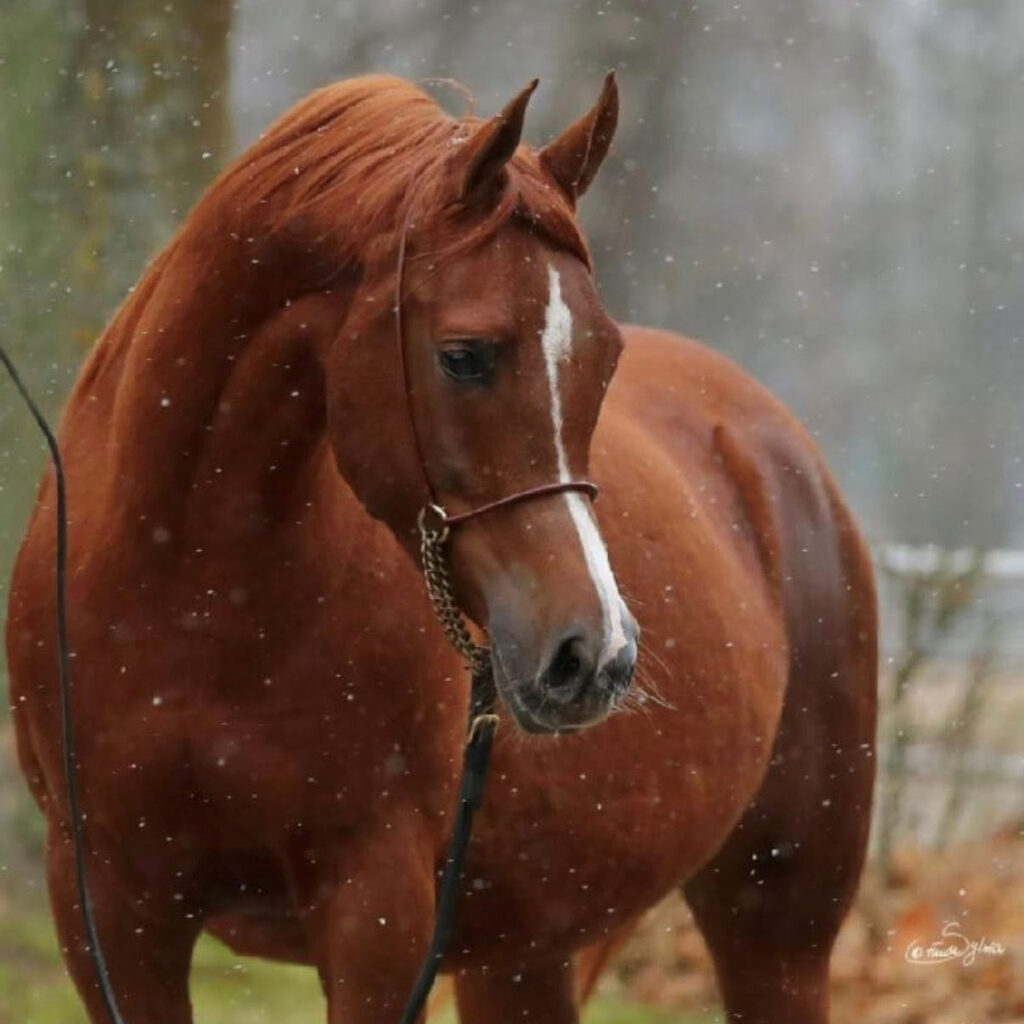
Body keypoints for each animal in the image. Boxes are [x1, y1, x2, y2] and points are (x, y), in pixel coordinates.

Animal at [6, 74, 877, 1024]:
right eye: (463, 356)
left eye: (606, 358)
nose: (595, 655)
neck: (194, 599)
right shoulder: (111, 908)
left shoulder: (377, 912)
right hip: (524, 955)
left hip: (776, 928)